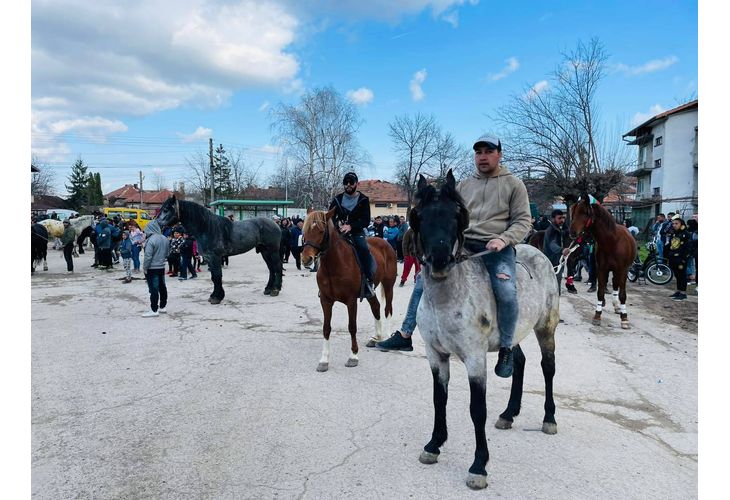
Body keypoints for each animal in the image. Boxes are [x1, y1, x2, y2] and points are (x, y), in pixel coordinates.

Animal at [298, 209, 396, 374]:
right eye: (304, 231)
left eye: (321, 231)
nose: (306, 259)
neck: (334, 264)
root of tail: (385, 242)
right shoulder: (325, 300)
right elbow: (326, 328)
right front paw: (324, 360)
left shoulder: (351, 301)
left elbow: (352, 327)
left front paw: (353, 356)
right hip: (370, 292)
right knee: (376, 307)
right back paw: (376, 337)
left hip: (388, 285)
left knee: (387, 308)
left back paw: (387, 338)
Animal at [410, 171, 556, 488]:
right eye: (420, 216)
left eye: (456, 215)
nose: (440, 259)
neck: (447, 298)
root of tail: (536, 251)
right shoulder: (435, 354)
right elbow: (439, 399)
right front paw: (434, 445)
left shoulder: (475, 358)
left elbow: (477, 410)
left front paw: (479, 466)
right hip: (513, 334)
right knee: (519, 362)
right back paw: (509, 414)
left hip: (546, 327)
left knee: (548, 367)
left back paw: (549, 419)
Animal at [564, 194, 636, 328]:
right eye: (573, 212)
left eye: (585, 212)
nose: (572, 232)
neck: (612, 242)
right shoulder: (602, 269)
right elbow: (600, 292)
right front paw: (597, 315)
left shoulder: (623, 270)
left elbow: (623, 294)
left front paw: (624, 318)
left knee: (616, 285)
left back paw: (618, 307)